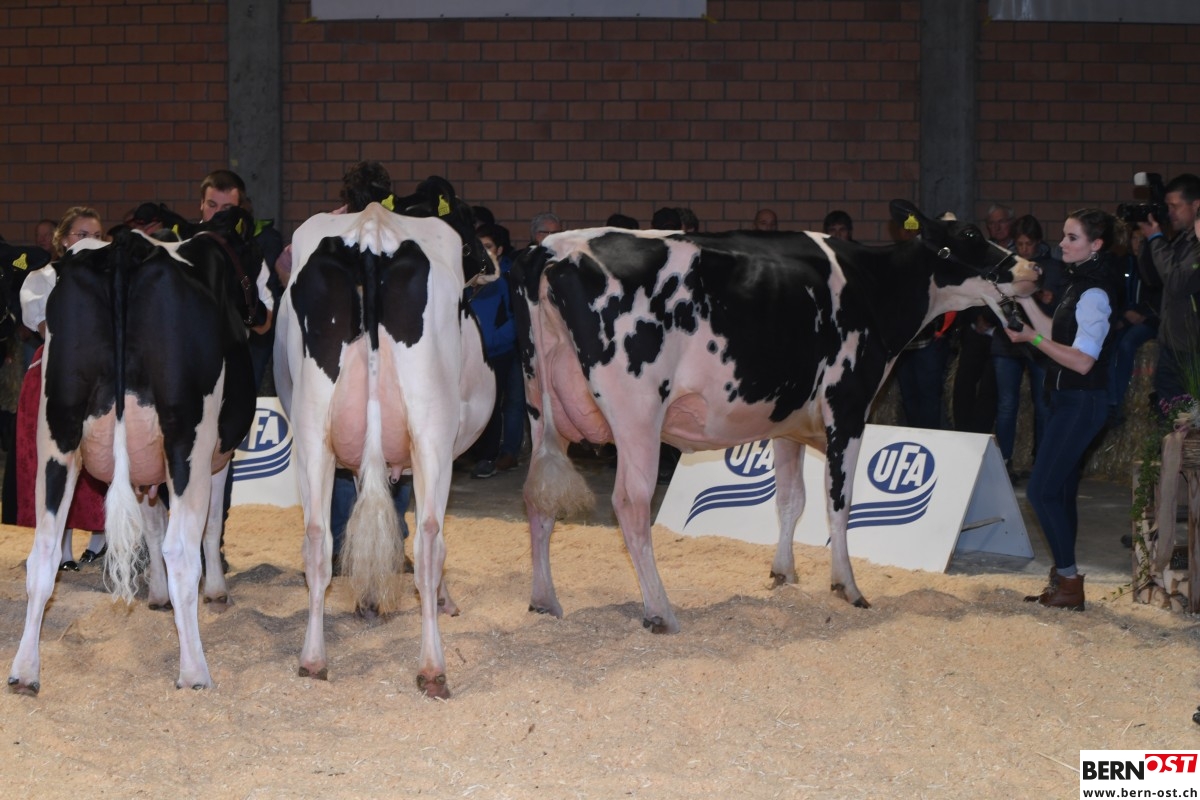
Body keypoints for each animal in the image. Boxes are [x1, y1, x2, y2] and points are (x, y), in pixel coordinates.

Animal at [8, 208, 270, 695]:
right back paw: (195, 671)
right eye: (259, 259)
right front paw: (216, 590)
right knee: (181, 549)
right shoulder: (218, 453)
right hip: (188, 437)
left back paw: (25, 670)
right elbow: (208, 527)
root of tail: (124, 249)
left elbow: (149, 525)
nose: (263, 310)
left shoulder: (144, 465)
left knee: (45, 552)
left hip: (56, 436)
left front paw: (156, 596)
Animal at [273, 179, 495, 698]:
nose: (491, 262)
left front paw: (369, 600)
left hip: (311, 433)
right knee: (429, 542)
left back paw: (312, 659)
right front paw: (442, 600)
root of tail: (371, 234)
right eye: (468, 220)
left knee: (317, 540)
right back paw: (432, 667)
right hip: (432, 432)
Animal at [512, 200, 1042, 634]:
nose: (1033, 267)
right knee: (630, 504)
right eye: (971, 234)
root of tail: (554, 248)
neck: (874, 287)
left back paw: (543, 601)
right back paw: (660, 610)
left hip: (540, 407)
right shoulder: (848, 409)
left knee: (539, 498)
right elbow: (838, 504)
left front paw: (783, 574)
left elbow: (790, 500)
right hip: (636, 412)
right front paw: (848, 587)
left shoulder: (785, 422)